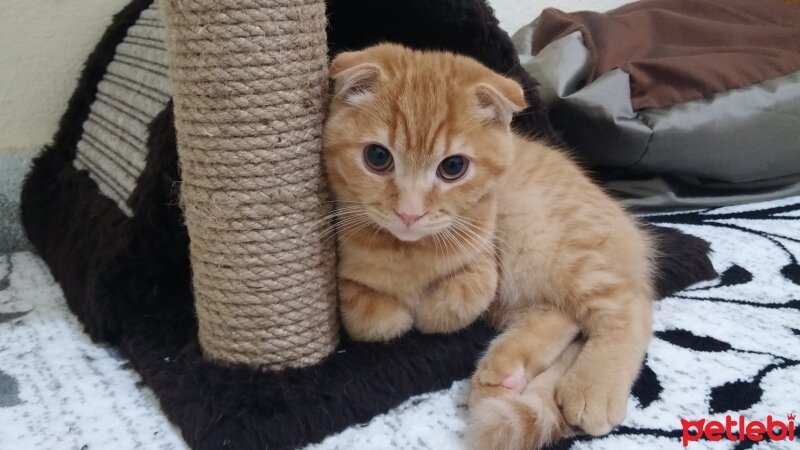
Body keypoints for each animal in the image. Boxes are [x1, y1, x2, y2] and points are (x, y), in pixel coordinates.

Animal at [322, 44, 652, 450]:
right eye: (378, 157)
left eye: (453, 167)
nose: (410, 213)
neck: (409, 253)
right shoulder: (346, 280)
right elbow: (374, 319)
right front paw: (400, 310)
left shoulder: (484, 264)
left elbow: (454, 303)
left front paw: (426, 310)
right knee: (562, 315)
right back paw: (507, 372)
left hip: (543, 243)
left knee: (629, 304)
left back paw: (592, 387)